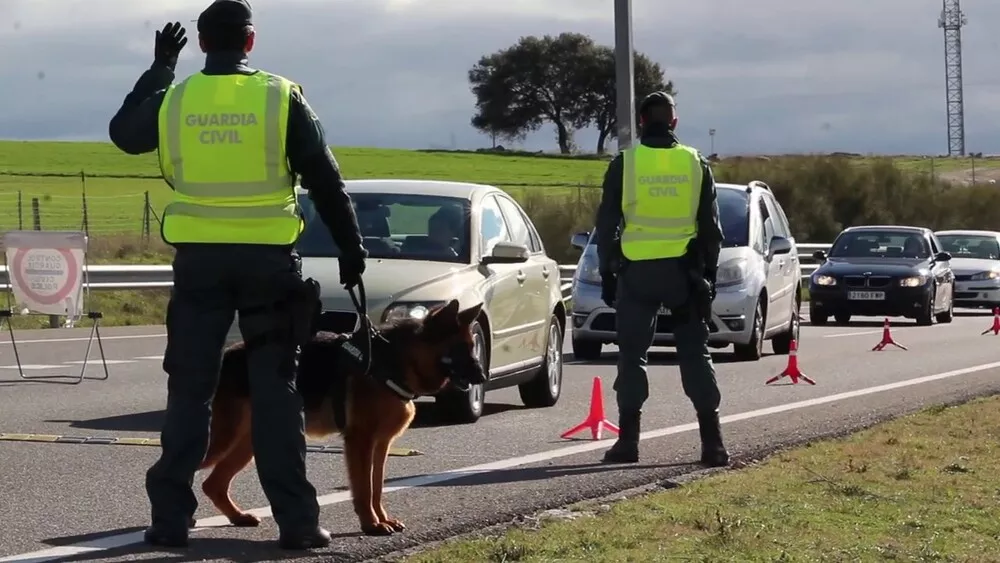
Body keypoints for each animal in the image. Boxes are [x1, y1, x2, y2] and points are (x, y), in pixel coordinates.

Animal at [194, 300, 484, 532]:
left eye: (473, 347)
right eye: (460, 348)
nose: (483, 377)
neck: (396, 361)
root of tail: (225, 356)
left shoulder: (381, 445)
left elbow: (377, 487)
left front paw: (382, 519)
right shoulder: (360, 442)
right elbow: (363, 489)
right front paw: (371, 525)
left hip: (249, 445)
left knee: (213, 484)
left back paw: (237, 517)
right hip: (222, 439)